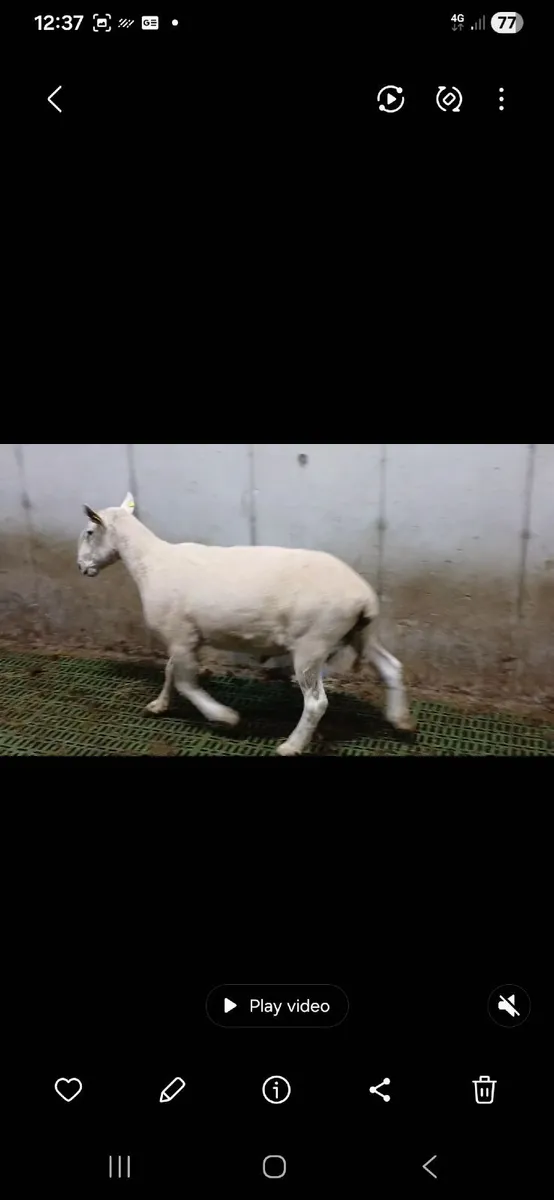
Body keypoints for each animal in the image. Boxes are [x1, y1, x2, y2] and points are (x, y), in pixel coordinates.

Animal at [77, 493, 415, 755]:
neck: (149, 562)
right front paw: (159, 705)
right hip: (361, 634)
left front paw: (225, 717)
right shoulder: (183, 636)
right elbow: (171, 670)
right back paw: (401, 721)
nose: (81, 567)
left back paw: (291, 746)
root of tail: (365, 599)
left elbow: (186, 682)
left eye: (90, 532)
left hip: (313, 643)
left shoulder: (180, 635)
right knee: (391, 666)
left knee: (316, 703)